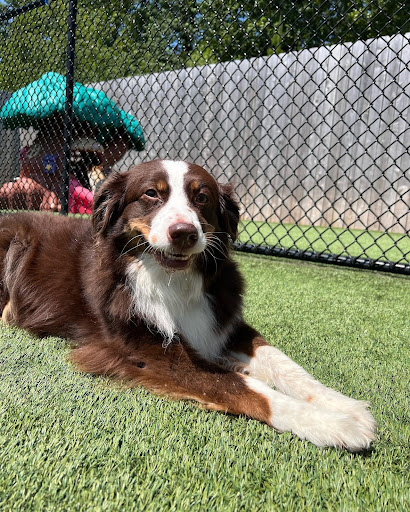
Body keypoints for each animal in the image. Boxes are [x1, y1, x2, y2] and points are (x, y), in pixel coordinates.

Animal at [0, 162, 376, 450]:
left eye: (202, 197)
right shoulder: (150, 352)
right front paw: (334, 424)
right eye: (151, 194)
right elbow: (244, 388)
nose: (184, 232)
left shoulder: (223, 320)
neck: (172, 283)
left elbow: (285, 364)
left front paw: (343, 404)